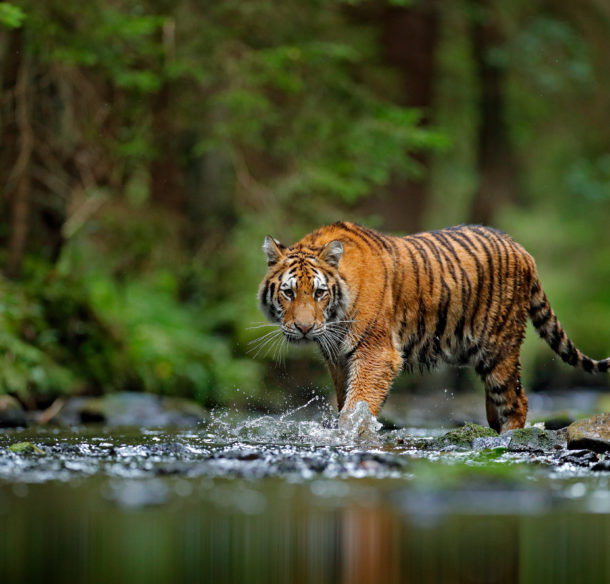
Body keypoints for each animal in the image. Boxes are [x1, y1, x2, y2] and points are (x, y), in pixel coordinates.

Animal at [254, 221, 604, 432]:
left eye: (319, 292)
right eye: (288, 293)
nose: (303, 328)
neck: (335, 319)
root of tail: (521, 249)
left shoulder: (376, 353)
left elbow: (357, 405)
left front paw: (352, 435)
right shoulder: (338, 358)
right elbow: (345, 402)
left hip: (499, 348)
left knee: (517, 401)